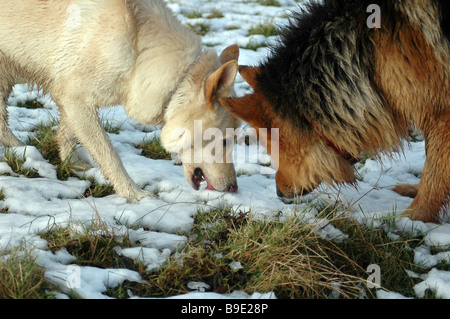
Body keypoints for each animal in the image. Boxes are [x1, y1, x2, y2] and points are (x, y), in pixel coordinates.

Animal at [0, 0, 239, 202]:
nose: (234, 188)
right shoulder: (75, 98)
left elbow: (68, 134)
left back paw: (20, 150)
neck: (140, 47)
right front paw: (134, 194)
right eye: (225, 141)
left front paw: (73, 164)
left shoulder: (74, 100)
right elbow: (110, 155)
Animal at [222, 0, 450, 224]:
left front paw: (412, 220)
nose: (279, 193)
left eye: (274, 146)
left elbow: (434, 171)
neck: (366, 53)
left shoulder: (441, 115)